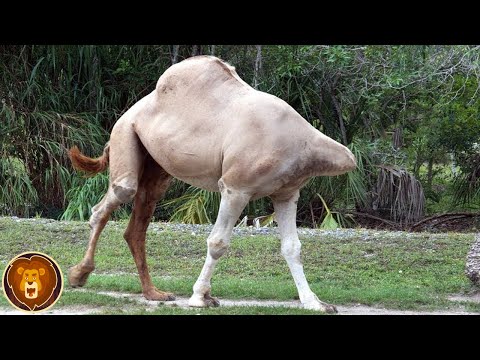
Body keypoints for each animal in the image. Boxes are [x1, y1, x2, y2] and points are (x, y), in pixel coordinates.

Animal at [67, 55, 356, 312]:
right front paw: (200, 297)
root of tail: (130, 111)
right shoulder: (235, 187)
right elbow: (218, 243)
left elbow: (292, 247)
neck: (305, 143)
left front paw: (316, 303)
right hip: (125, 135)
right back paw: (79, 275)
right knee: (110, 201)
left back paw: (154, 293)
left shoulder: (286, 193)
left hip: (157, 167)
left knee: (137, 223)